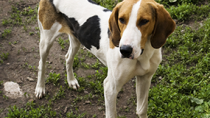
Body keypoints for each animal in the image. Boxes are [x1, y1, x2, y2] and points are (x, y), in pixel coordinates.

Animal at [34, 0, 176, 117]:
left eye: (144, 21)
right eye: (121, 19)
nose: (124, 50)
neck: (143, 54)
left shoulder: (145, 78)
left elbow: (141, 110)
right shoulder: (110, 88)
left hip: (76, 39)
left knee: (68, 58)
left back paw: (71, 81)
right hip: (46, 41)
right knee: (41, 64)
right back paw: (40, 88)